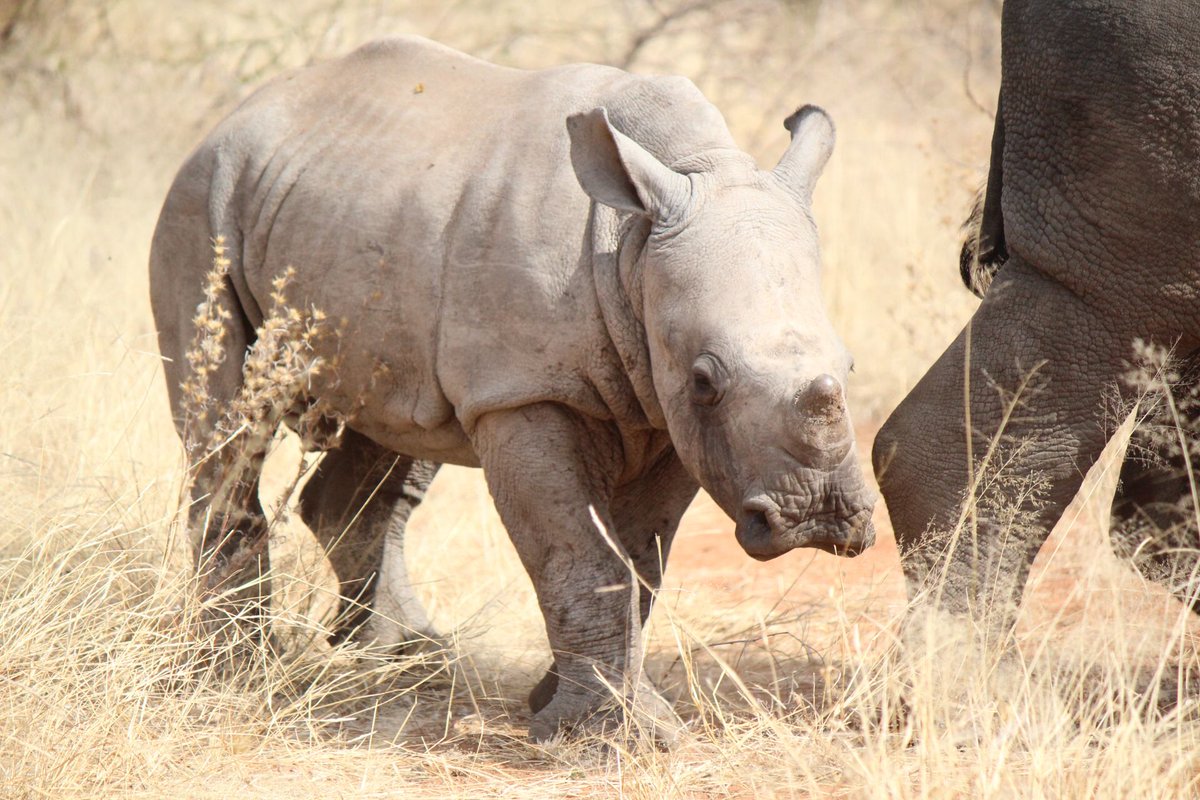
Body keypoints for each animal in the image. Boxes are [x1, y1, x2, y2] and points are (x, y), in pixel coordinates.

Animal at [150, 35, 875, 741]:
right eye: (705, 380)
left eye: (850, 365)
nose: (817, 515)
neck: (635, 239)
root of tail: (231, 119)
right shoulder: (524, 390)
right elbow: (581, 556)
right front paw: (614, 735)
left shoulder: (666, 416)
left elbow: (639, 562)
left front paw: (567, 705)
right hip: (203, 199)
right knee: (225, 425)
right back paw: (237, 670)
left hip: (353, 217)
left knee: (393, 424)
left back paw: (409, 658)